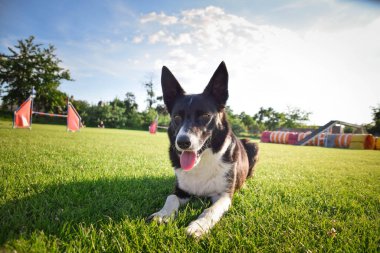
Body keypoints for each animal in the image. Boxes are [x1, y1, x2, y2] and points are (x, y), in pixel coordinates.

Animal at [148, 60, 258, 237]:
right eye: (176, 117)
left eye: (205, 116)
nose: (182, 142)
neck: (203, 160)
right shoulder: (180, 190)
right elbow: (170, 198)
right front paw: (162, 215)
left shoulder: (224, 195)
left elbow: (211, 209)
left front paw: (199, 226)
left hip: (253, 145)